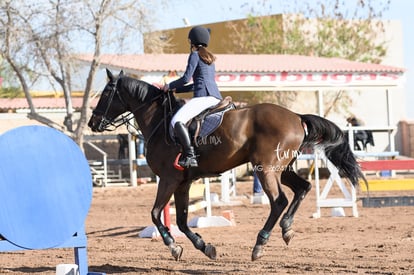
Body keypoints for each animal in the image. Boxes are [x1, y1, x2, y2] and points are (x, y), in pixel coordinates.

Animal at [88, 69, 366, 264]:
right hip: (282, 169)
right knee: (303, 188)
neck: (159, 120)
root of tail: (297, 117)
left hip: (265, 170)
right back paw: (287, 229)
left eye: (105, 94)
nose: (93, 123)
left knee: (279, 201)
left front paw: (174, 247)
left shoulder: (169, 179)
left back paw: (260, 244)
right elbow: (182, 220)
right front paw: (205, 247)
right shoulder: (183, 182)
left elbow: (157, 214)